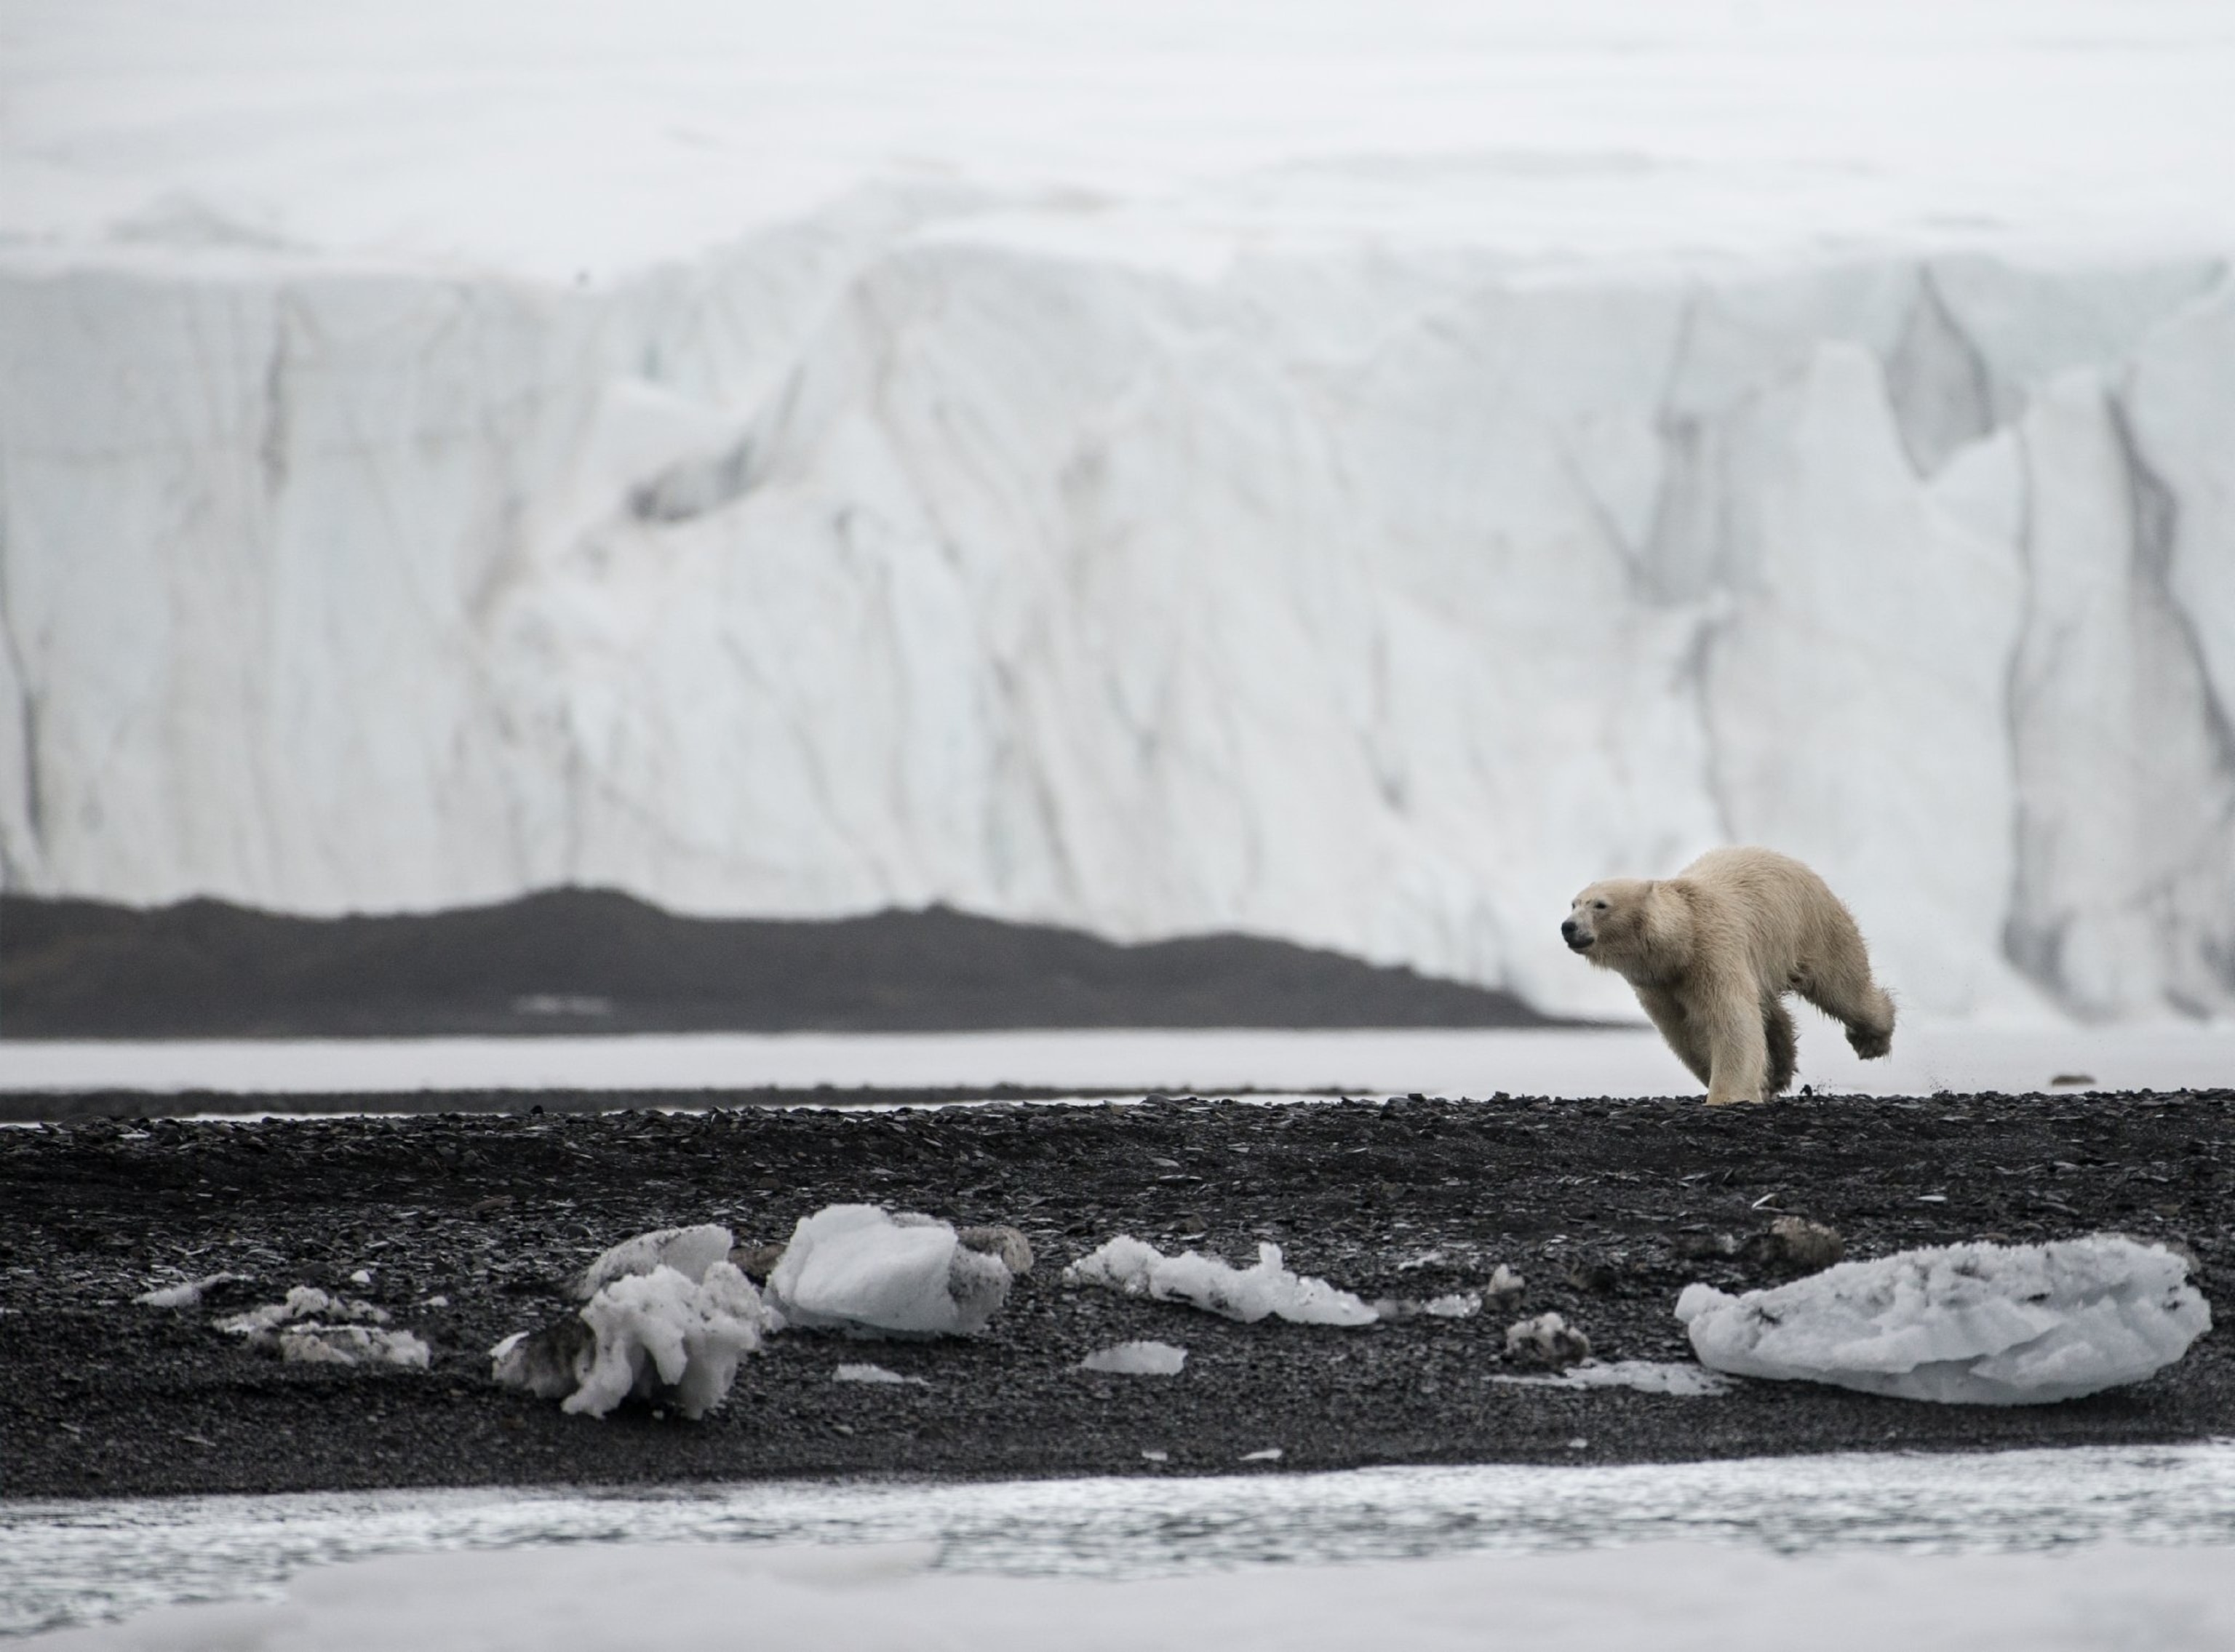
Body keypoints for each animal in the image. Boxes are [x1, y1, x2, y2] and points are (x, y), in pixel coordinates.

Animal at [1562, 846, 1895, 1106]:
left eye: (1600, 905)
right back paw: (1780, 1066)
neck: (1682, 941)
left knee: (1843, 987)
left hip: (1812, 926)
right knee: (1770, 1009)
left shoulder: (1713, 951)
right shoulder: (1658, 984)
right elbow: (1683, 1031)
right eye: (1574, 903)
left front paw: (1727, 1096)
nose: (1568, 926)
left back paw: (1871, 1039)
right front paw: (1759, 1082)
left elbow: (1731, 1019)